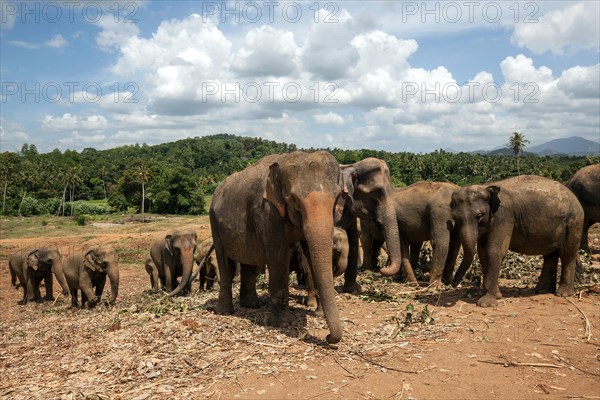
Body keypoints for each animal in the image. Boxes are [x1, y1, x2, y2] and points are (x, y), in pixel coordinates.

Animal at [210, 151, 342, 344]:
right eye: (294, 200)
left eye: (337, 197)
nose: (328, 336)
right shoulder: (267, 212)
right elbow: (278, 258)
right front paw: (282, 323)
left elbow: (310, 253)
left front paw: (317, 314)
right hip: (214, 223)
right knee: (226, 264)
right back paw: (225, 312)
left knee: (248, 262)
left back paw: (251, 305)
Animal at [452, 175, 584, 306]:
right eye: (455, 218)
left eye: (479, 215)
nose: (452, 283)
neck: (486, 187)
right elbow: (482, 253)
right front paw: (497, 296)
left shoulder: (504, 217)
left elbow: (494, 251)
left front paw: (486, 304)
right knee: (550, 255)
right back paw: (543, 291)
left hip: (574, 222)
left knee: (567, 253)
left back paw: (563, 294)